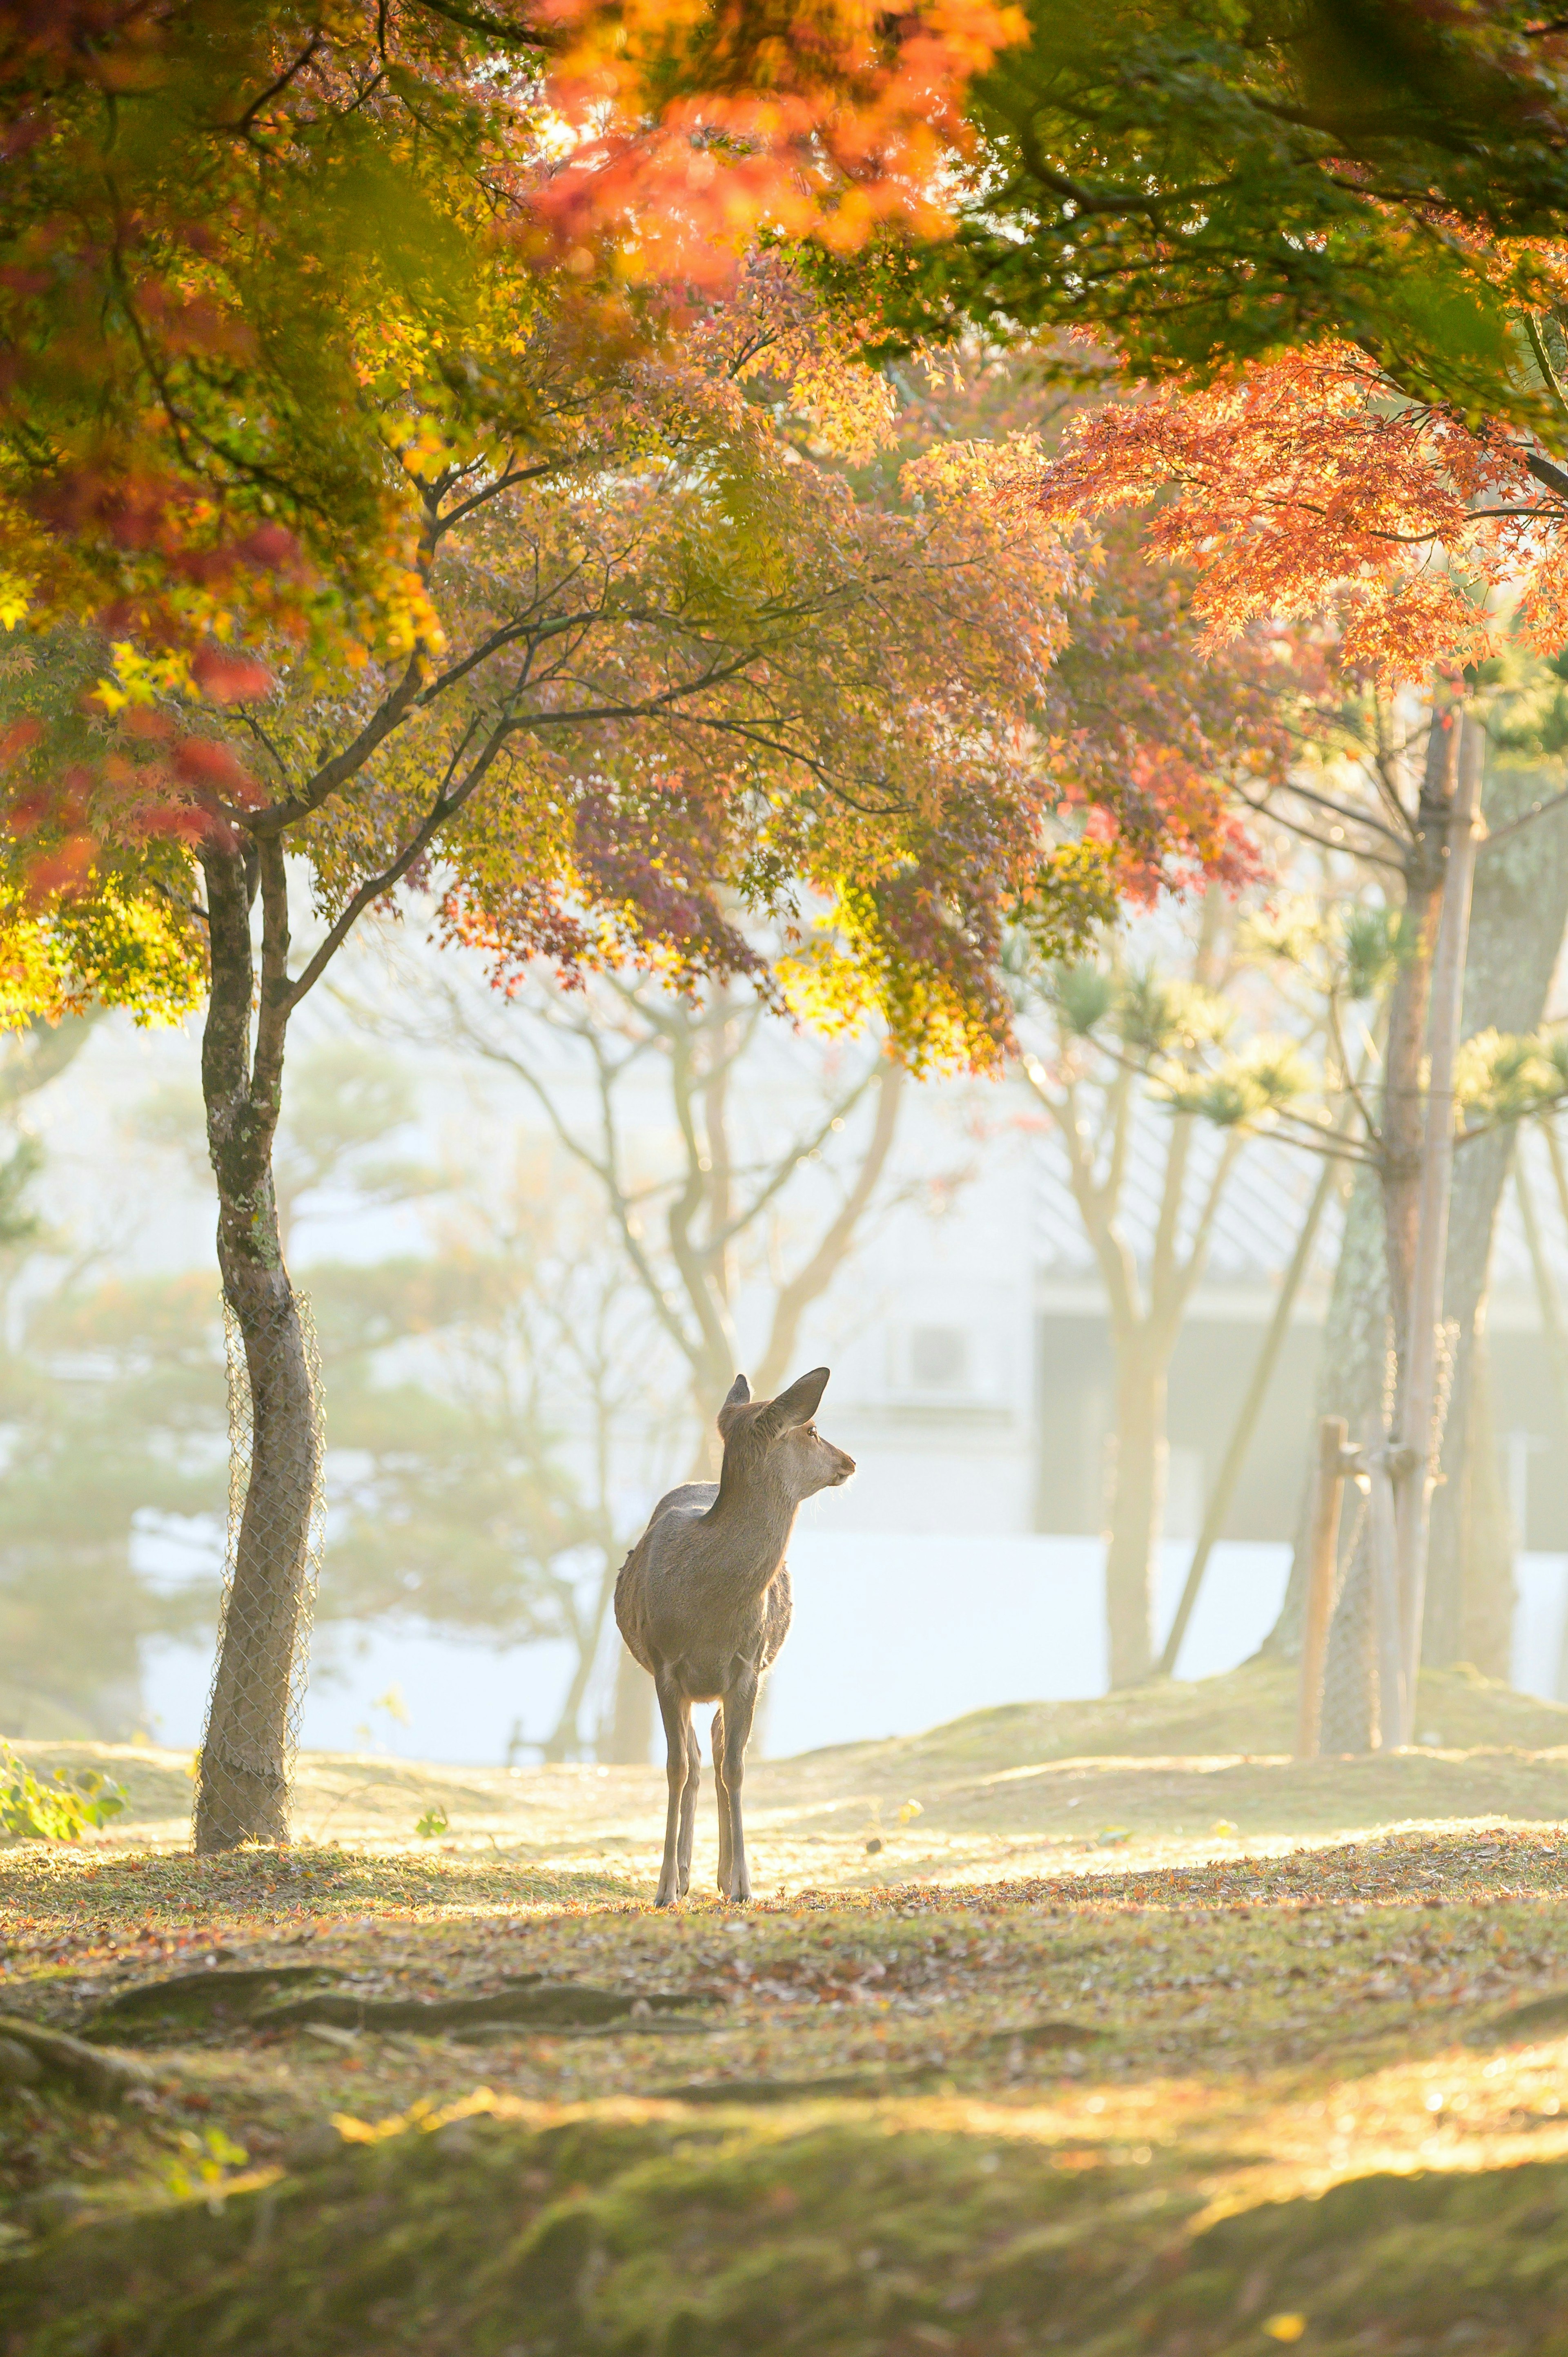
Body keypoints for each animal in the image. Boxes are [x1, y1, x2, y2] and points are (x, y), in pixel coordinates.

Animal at [613, 1376, 858, 1904]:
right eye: (812, 1429)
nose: (849, 1460)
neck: (710, 1607)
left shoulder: (748, 1665)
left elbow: (737, 1767)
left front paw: (744, 1883)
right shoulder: (666, 1665)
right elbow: (676, 1768)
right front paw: (665, 1886)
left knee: (718, 1747)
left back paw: (722, 1874)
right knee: (696, 1757)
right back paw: (686, 1873)